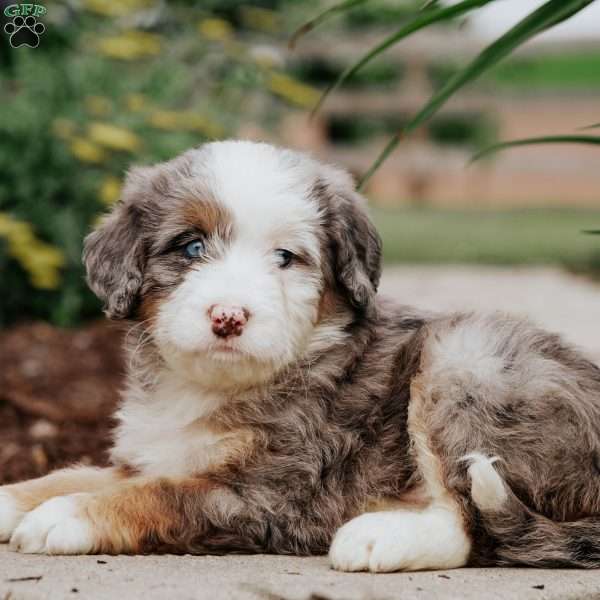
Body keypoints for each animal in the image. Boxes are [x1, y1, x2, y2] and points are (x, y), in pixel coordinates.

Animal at [1, 142, 600, 572]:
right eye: (191, 247)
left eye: (286, 258)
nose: (228, 316)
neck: (210, 387)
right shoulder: (158, 455)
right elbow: (84, 473)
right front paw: (15, 499)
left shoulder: (269, 494)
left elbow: (157, 495)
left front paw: (66, 515)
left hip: (464, 359)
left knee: (467, 523)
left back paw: (378, 536)